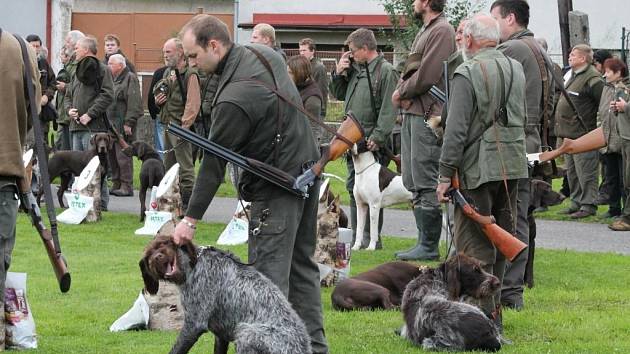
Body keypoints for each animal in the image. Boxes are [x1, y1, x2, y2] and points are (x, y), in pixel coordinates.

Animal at [141, 232, 314, 354]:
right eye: (149, 254)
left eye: (165, 243)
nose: (157, 257)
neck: (193, 265)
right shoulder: (221, 335)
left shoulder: (194, 324)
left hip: (246, 332)